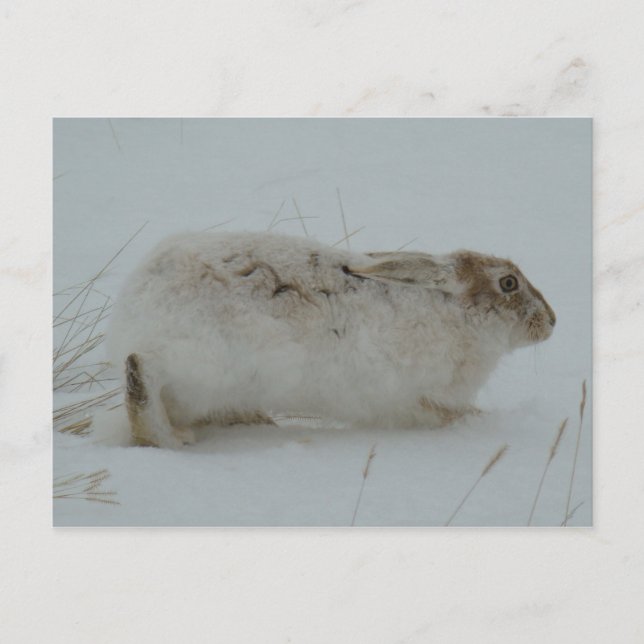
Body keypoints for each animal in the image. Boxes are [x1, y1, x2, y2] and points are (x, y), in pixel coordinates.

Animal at [107, 231, 556, 448]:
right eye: (508, 283)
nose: (551, 321)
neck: (454, 312)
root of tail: (139, 302)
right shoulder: (415, 398)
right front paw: (482, 422)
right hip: (201, 364)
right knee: (141, 376)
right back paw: (172, 439)